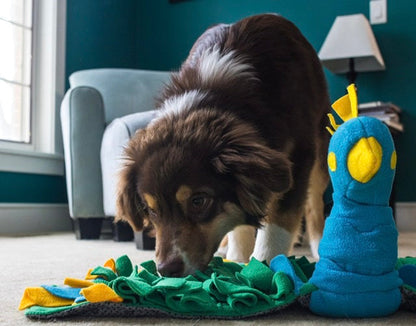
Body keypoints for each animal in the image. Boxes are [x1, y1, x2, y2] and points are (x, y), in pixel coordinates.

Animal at [115, 14, 330, 276]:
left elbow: (278, 222)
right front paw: (237, 259)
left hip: (319, 145)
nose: (166, 270)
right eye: (151, 210)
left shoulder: (297, 157)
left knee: (314, 202)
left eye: (198, 201)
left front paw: (264, 266)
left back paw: (319, 245)